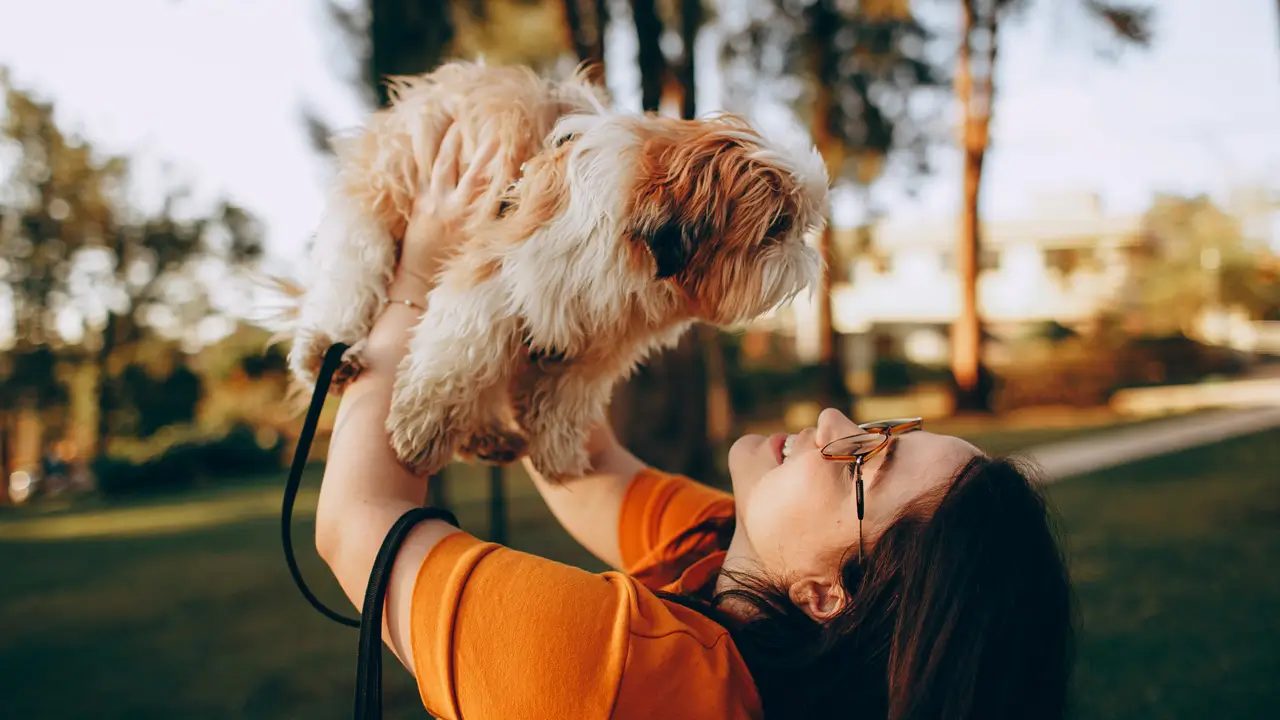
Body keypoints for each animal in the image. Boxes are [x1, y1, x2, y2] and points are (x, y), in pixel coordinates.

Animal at [279, 58, 824, 479]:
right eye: (778, 226)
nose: (810, 256)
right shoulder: (497, 272)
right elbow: (457, 354)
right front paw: (423, 427)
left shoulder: (598, 340)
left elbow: (565, 397)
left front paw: (557, 452)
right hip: (375, 205)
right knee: (349, 275)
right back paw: (325, 350)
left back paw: (486, 434)